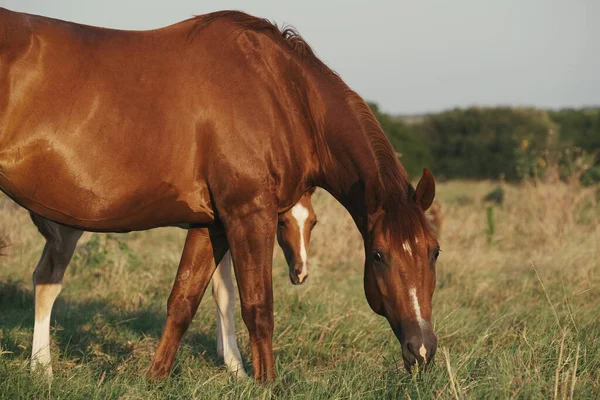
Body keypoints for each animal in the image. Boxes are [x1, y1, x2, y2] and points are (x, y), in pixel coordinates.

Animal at [0, 7, 440, 382]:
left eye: (434, 251)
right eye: (378, 254)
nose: (421, 350)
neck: (281, 91)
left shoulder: (209, 224)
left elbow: (184, 301)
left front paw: (158, 378)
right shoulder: (249, 215)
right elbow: (256, 307)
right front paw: (261, 381)